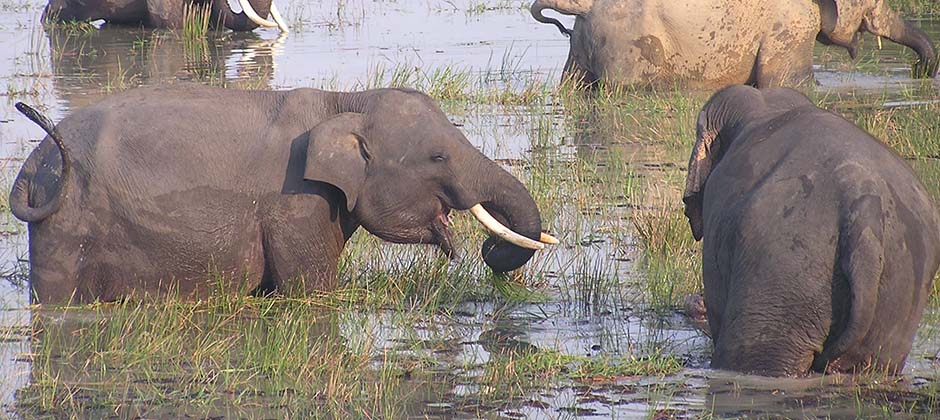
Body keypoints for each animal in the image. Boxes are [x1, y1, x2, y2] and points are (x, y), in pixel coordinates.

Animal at [10, 83, 558, 304]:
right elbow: (312, 293)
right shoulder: (296, 202)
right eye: (439, 157)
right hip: (69, 224)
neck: (346, 101)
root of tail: (36, 160)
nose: (489, 249)